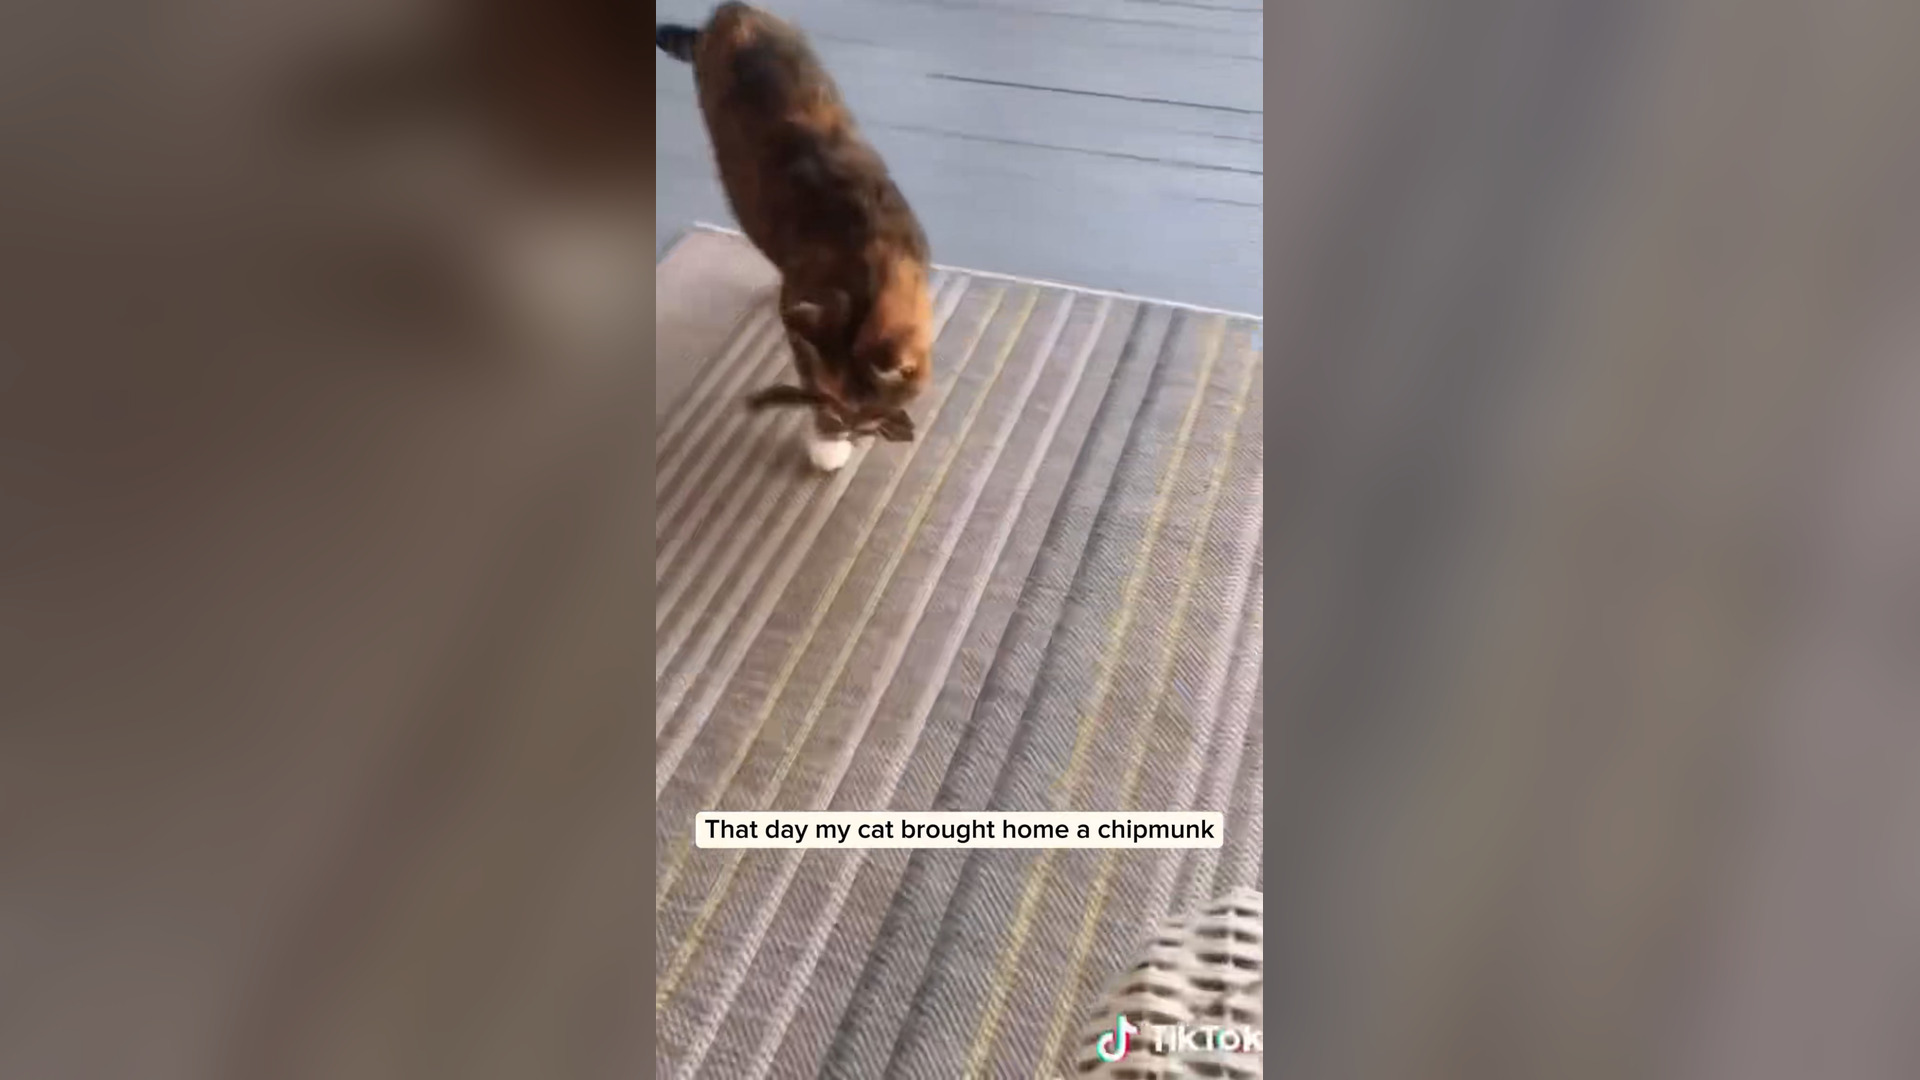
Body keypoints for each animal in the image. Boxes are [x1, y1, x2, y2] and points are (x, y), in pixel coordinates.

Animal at [657, 3, 934, 472]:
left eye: (864, 415)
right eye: (837, 413)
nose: (851, 430)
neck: (875, 267)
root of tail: (731, 12)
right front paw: (828, 447)